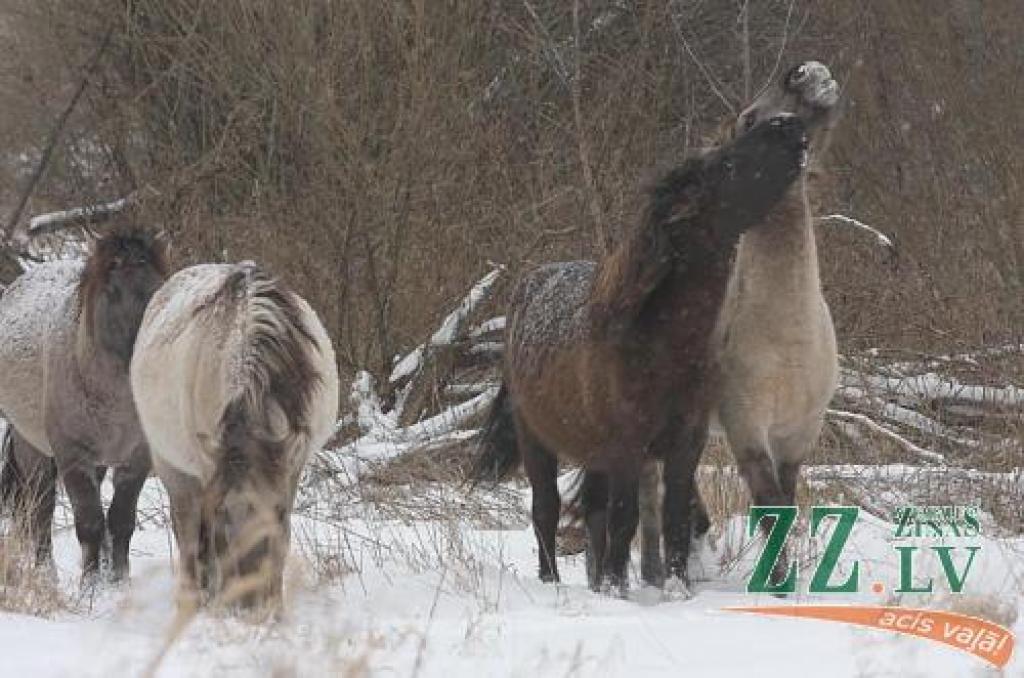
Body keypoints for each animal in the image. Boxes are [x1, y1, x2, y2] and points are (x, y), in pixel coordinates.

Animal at [475, 114, 811, 594]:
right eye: (724, 165)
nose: (789, 123)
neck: (660, 344)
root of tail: (527, 288)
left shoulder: (685, 444)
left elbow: (674, 520)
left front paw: (676, 587)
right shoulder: (626, 448)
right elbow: (625, 519)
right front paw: (620, 589)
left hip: (592, 452)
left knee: (591, 512)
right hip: (536, 440)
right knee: (546, 510)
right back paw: (552, 582)